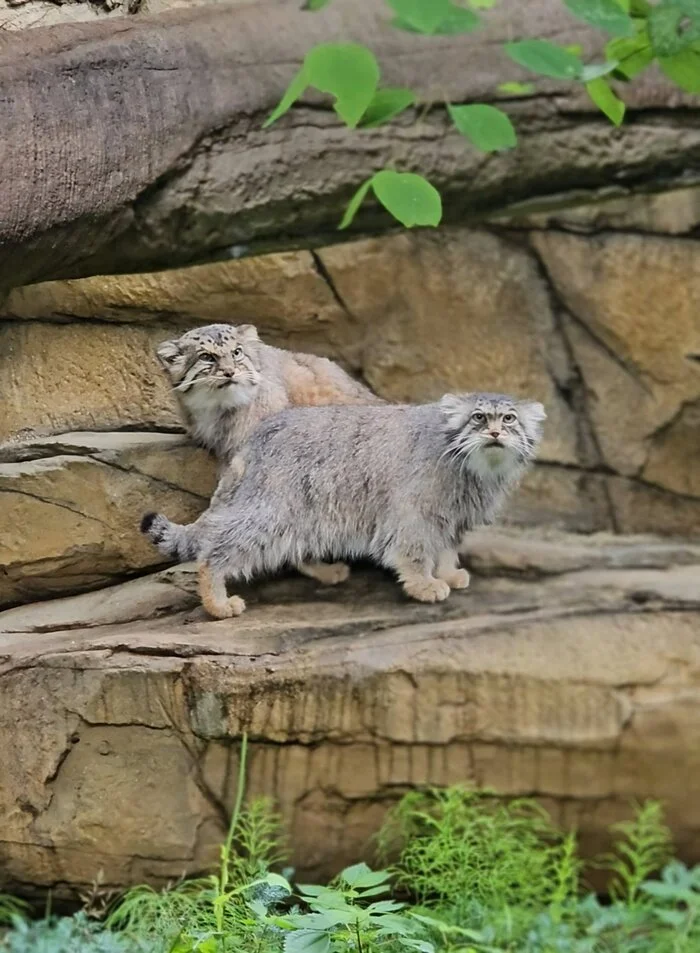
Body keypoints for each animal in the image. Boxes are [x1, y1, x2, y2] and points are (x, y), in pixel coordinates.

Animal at [141, 392, 548, 620]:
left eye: (509, 418)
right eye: (478, 417)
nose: (494, 433)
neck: (472, 468)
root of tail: (255, 436)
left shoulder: (451, 514)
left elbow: (446, 547)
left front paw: (448, 573)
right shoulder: (414, 511)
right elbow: (416, 551)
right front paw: (424, 585)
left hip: (307, 509)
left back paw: (324, 570)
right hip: (273, 507)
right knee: (216, 550)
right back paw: (217, 602)